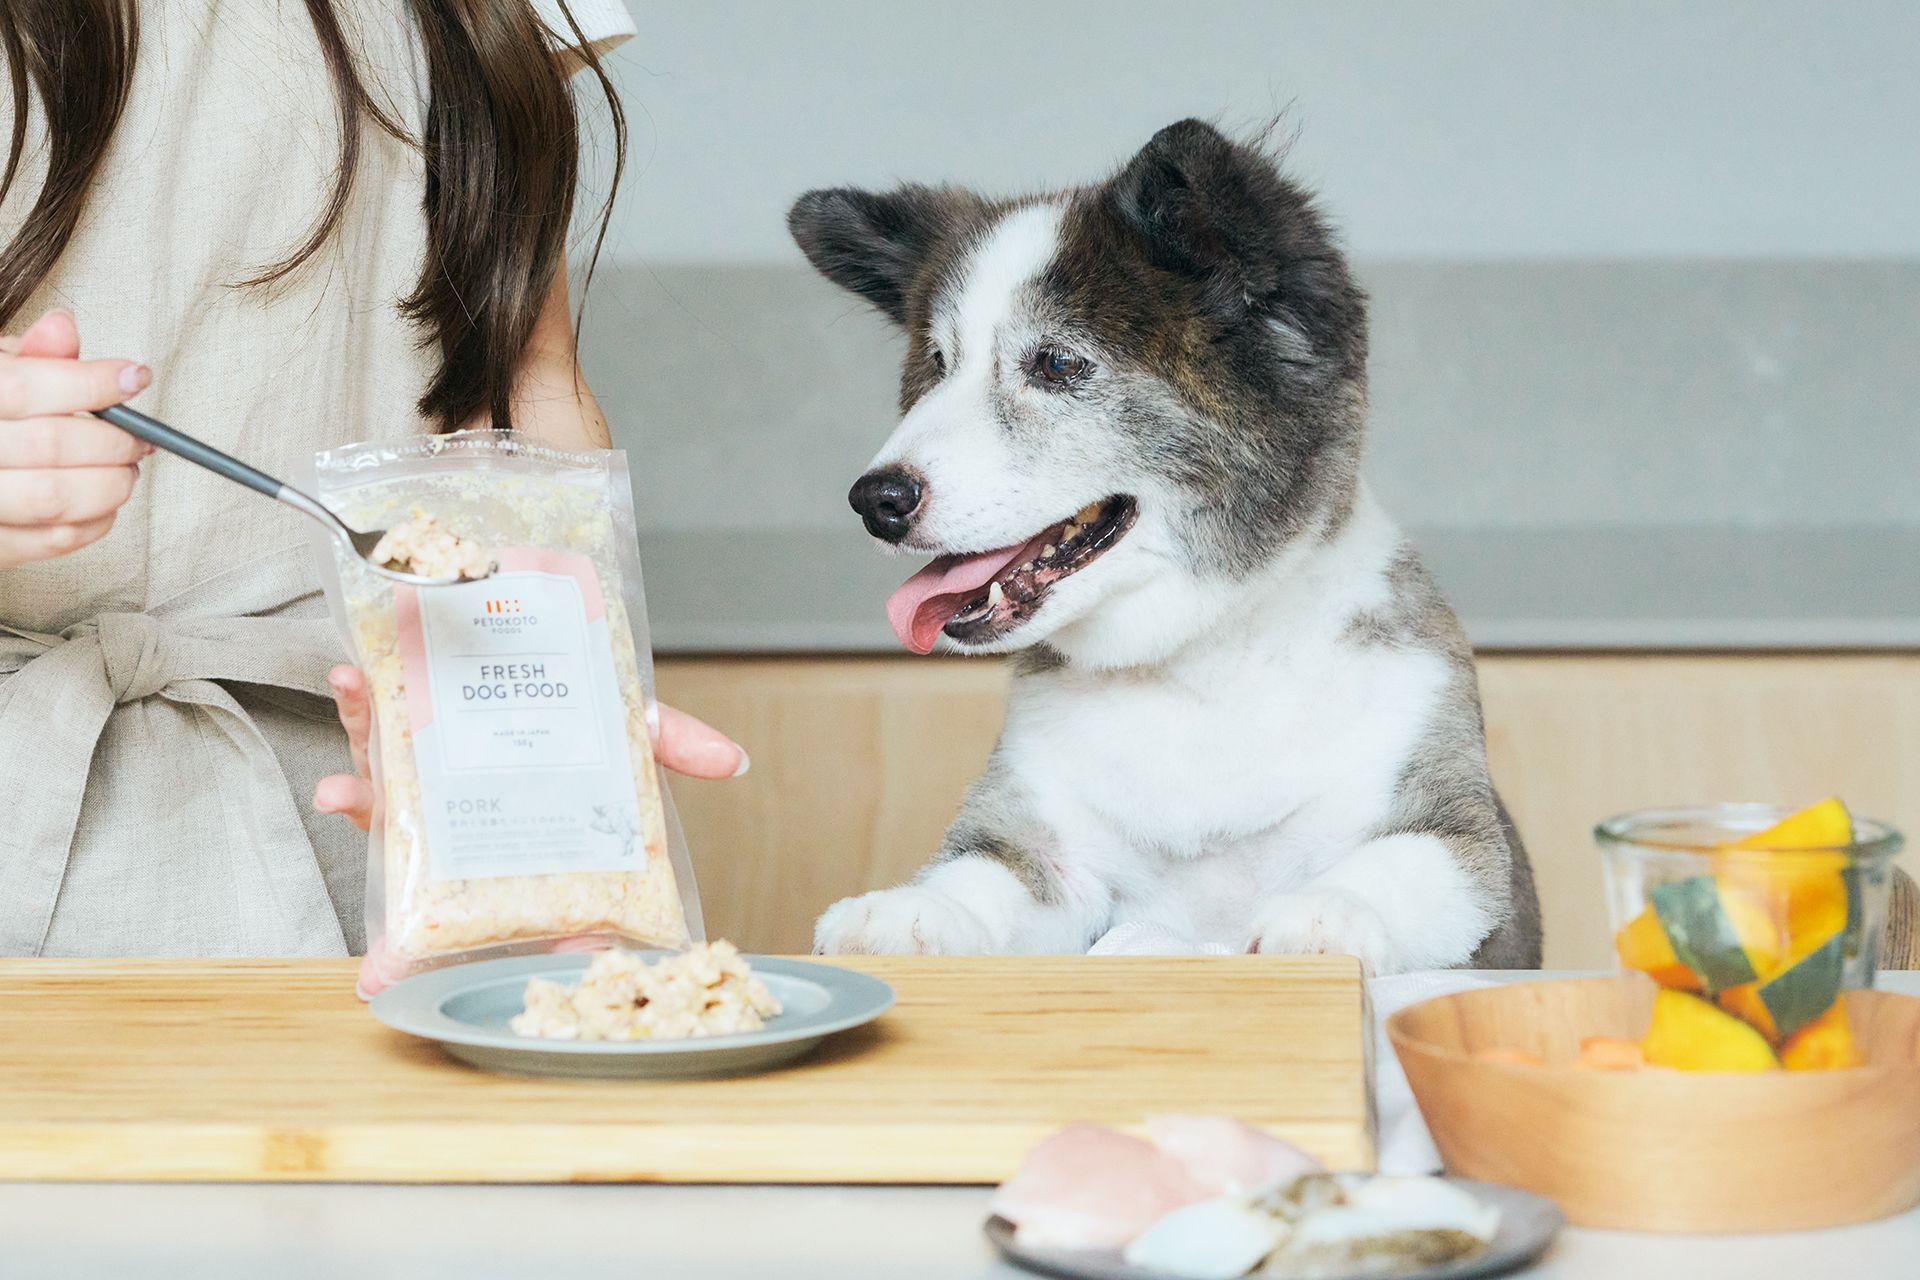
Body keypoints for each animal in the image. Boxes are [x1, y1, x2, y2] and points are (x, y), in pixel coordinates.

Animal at [783, 124, 1543, 974]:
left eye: (1057, 363)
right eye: (938, 365)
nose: (876, 500)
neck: (1201, 666)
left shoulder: (1455, 839)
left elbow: (1388, 867)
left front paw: (1328, 914)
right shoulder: (1044, 849)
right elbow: (979, 877)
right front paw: (905, 912)